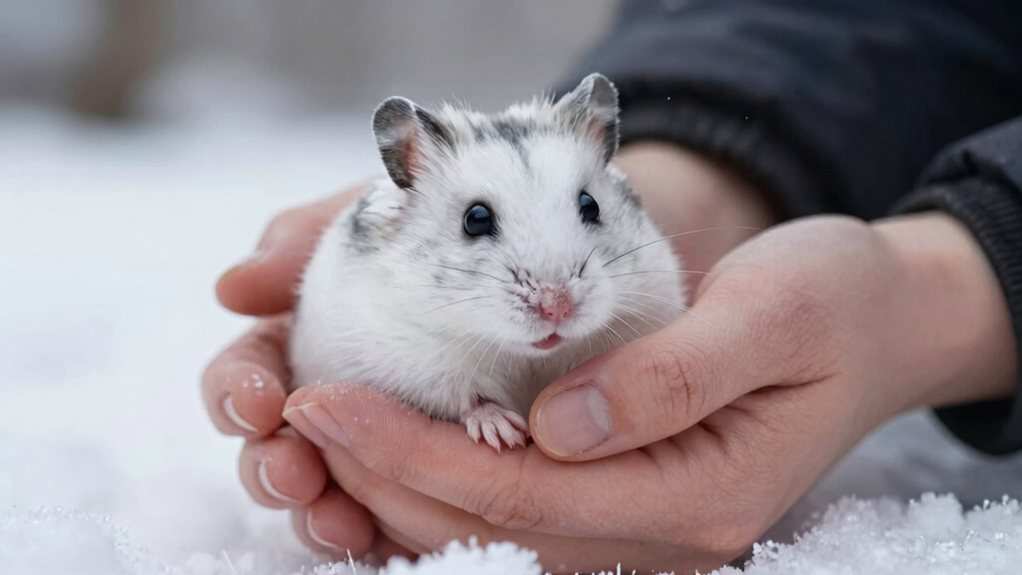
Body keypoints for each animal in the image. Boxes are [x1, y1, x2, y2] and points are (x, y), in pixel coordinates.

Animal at [290, 74, 686, 451]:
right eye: (475, 218)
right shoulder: (406, 358)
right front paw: (504, 433)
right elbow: (465, 398)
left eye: (591, 205)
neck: (524, 357)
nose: (557, 307)